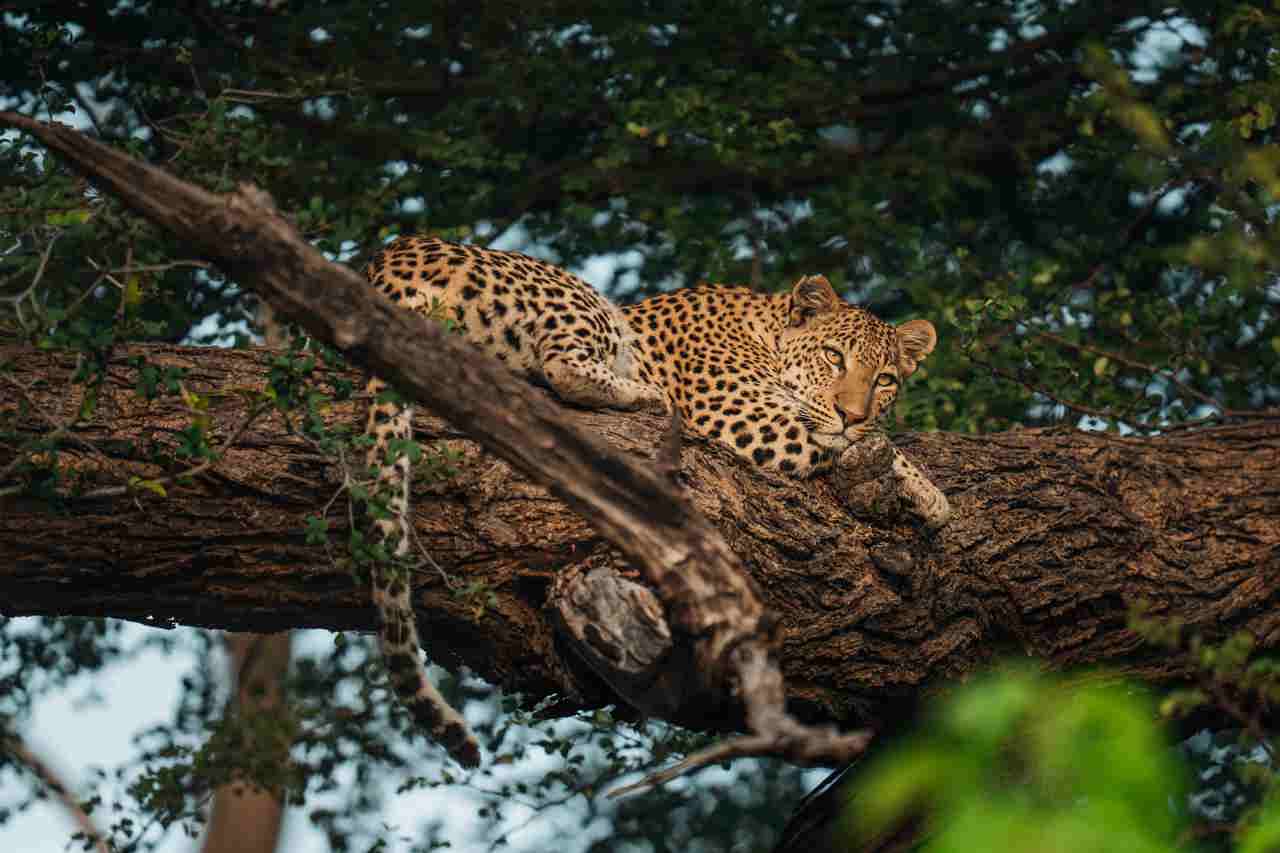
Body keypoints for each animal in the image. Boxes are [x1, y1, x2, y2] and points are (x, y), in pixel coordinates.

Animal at [359, 235, 949, 766]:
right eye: (833, 357)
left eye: (885, 379)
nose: (853, 414)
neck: (766, 328)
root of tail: (387, 263)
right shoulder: (745, 418)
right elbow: (870, 447)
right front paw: (934, 497)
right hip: (576, 294)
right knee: (563, 366)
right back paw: (649, 397)